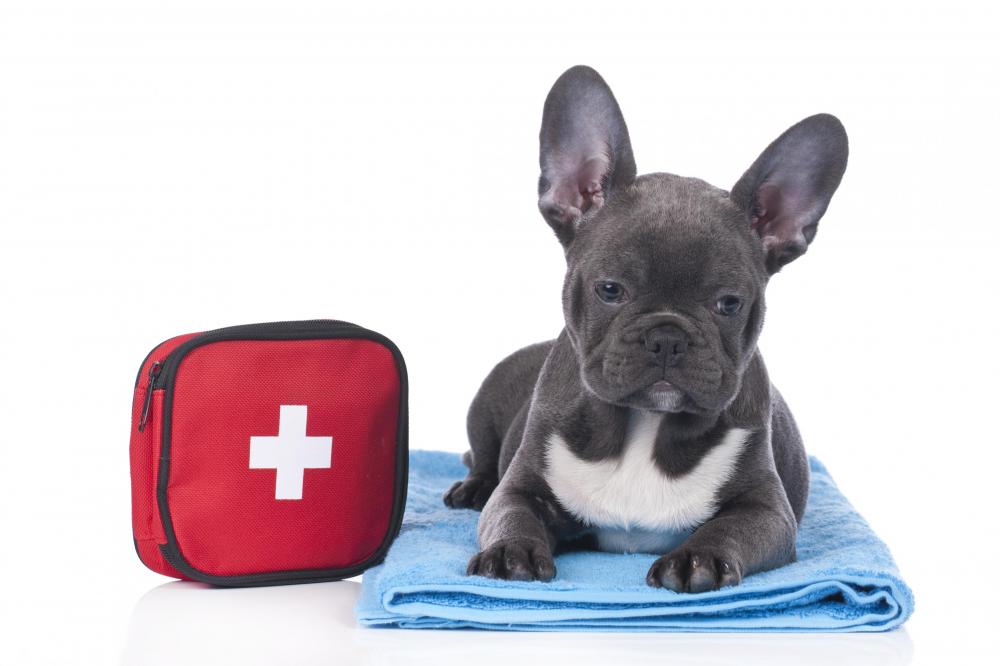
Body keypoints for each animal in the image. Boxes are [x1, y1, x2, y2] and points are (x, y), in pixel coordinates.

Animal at [444, 63, 844, 592]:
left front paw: (698, 558)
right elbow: (511, 513)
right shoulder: (521, 486)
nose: (667, 337)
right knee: (483, 460)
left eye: (729, 304)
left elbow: (729, 528)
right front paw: (511, 551)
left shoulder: (768, 512)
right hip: (485, 404)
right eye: (611, 290)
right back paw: (470, 488)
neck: (645, 424)